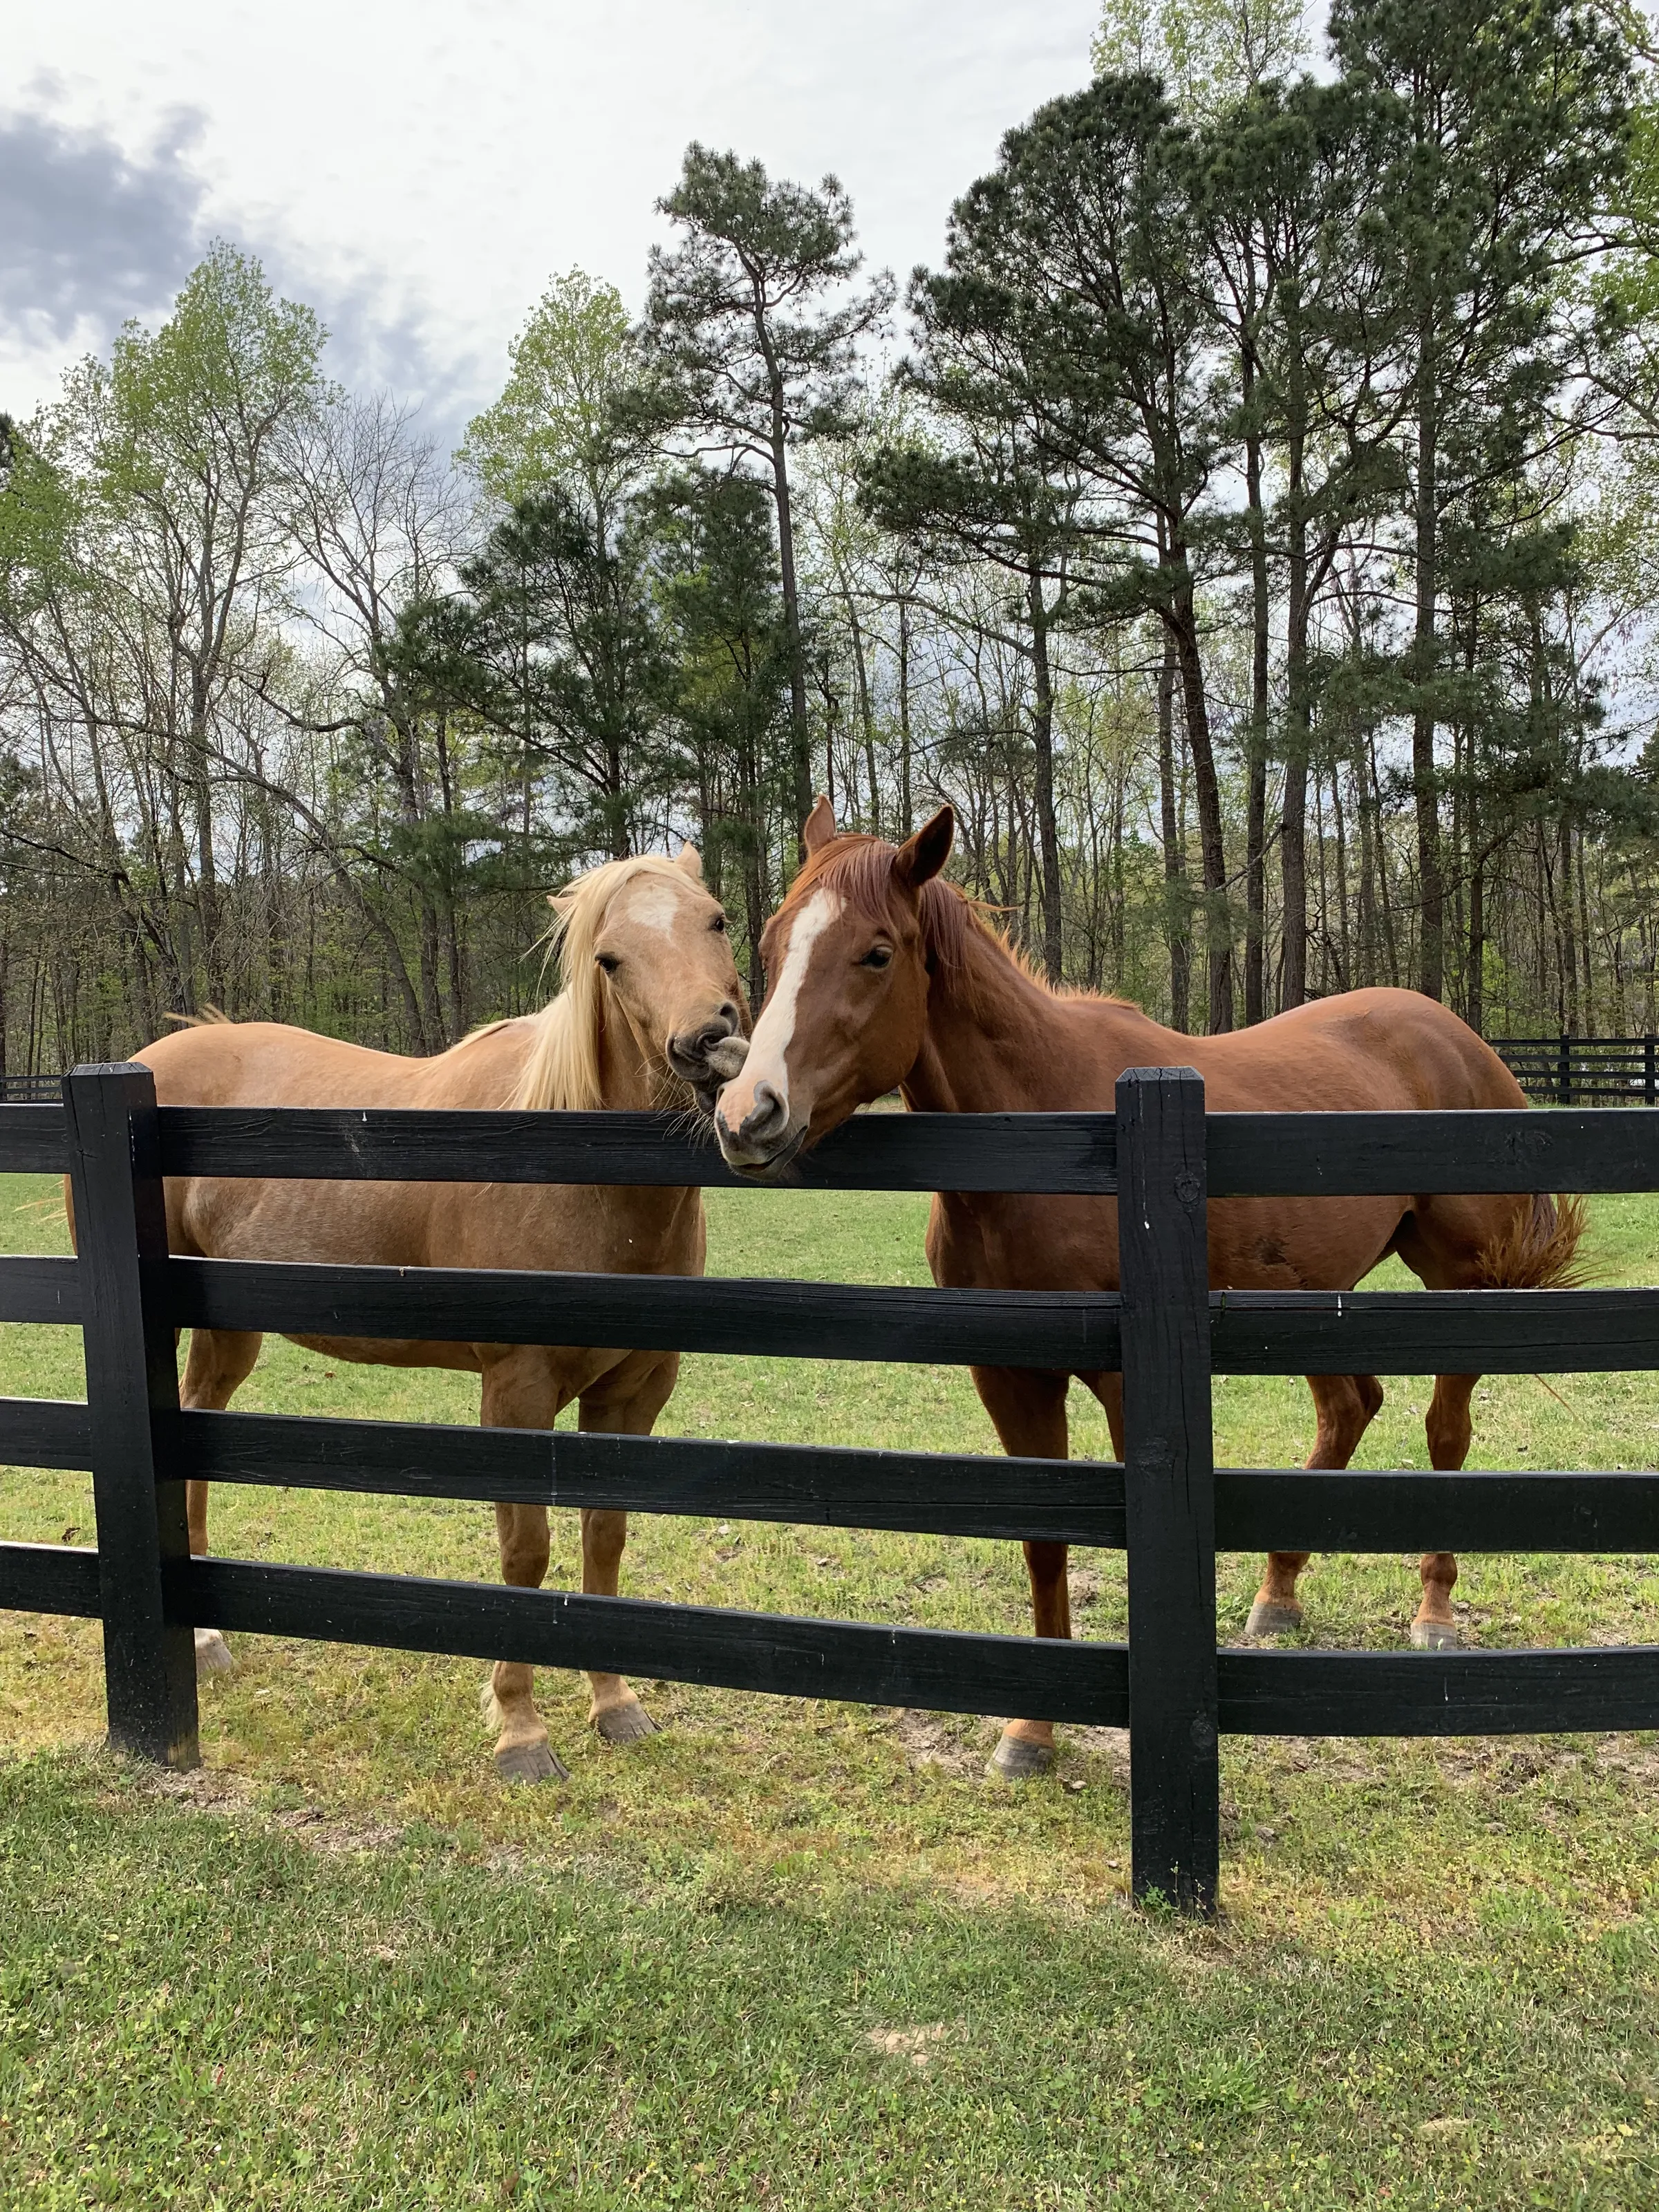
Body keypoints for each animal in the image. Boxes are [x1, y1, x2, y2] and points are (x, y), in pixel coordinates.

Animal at [117, 845, 748, 1782]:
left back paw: (207, 1637)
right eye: (609, 958)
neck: (582, 1170)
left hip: (230, 1330)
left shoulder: (634, 1390)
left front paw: (614, 1703)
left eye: (716, 919)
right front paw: (521, 1728)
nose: (709, 1042)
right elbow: (527, 1548)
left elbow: (604, 1536)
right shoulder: (517, 1391)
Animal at [713, 799, 1583, 1781]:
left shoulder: (1129, 1384)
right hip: (1314, 1300)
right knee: (1349, 1408)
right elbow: (1042, 1541)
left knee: (1445, 1432)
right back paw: (1277, 1593)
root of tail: (1462, 1039)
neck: (1047, 1139)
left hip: (1459, 1283)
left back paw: (1433, 1612)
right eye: (772, 939)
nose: (748, 1114)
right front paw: (1030, 1732)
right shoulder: (1010, 1376)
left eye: (875, 952)